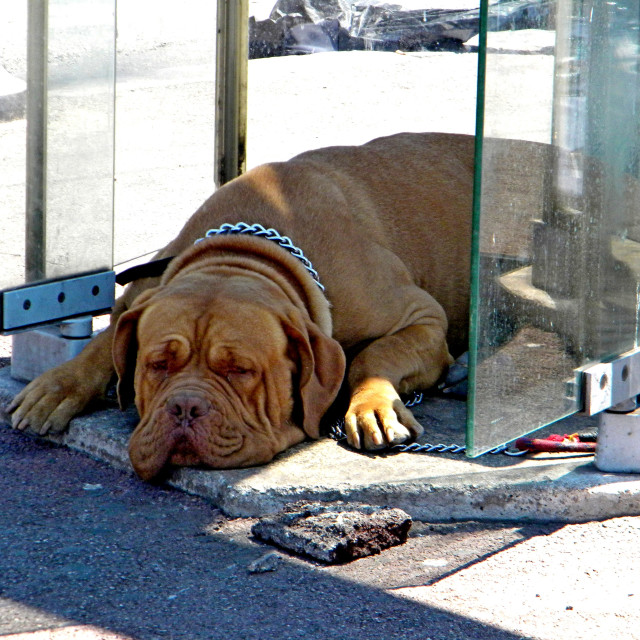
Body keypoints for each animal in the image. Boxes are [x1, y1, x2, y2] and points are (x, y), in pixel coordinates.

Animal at [8, 131, 470, 480]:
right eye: (158, 365)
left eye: (241, 371)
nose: (186, 407)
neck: (249, 251)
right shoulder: (142, 290)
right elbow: (106, 340)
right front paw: (58, 385)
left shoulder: (422, 318)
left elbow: (374, 355)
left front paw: (371, 406)